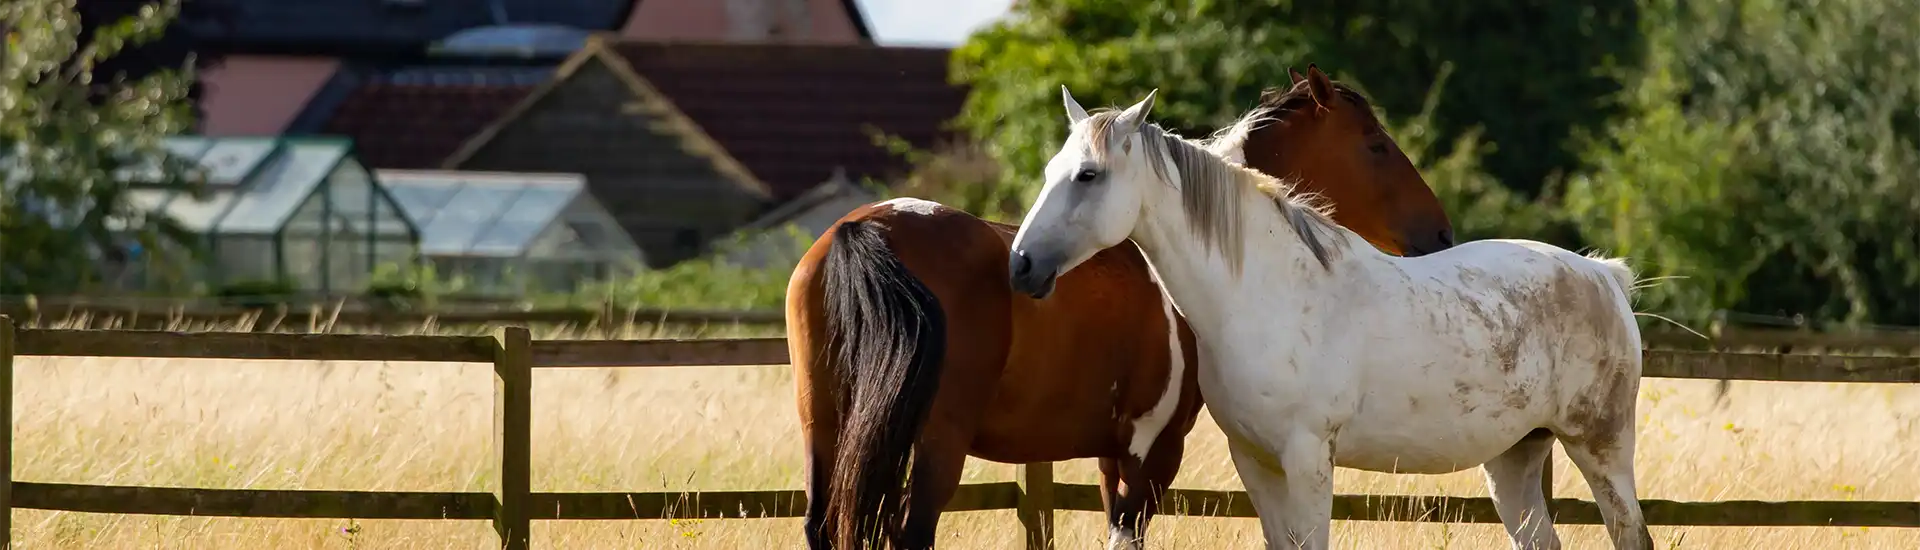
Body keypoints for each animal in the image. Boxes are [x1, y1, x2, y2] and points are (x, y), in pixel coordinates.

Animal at [786, 66, 1456, 549]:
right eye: (1376, 146)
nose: (1440, 233)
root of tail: (863, 229)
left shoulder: (1112, 454)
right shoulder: (1153, 452)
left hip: (826, 429)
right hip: (935, 442)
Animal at [1007, 88, 1653, 550]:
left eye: (1089, 175)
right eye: (1051, 170)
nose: (1022, 265)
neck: (1265, 295)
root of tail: (1604, 276)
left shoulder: (1308, 460)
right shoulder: (1256, 461)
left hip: (1602, 451)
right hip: (1515, 460)